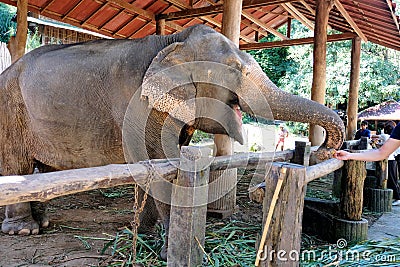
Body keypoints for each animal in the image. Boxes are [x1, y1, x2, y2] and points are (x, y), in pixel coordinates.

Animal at [0, 24, 344, 260]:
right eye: (234, 70)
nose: (327, 150)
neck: (172, 41)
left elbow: (151, 165)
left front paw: (143, 232)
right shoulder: (137, 104)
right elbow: (157, 161)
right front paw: (167, 250)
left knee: (43, 169)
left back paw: (43, 222)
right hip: (10, 111)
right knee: (17, 165)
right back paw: (25, 229)